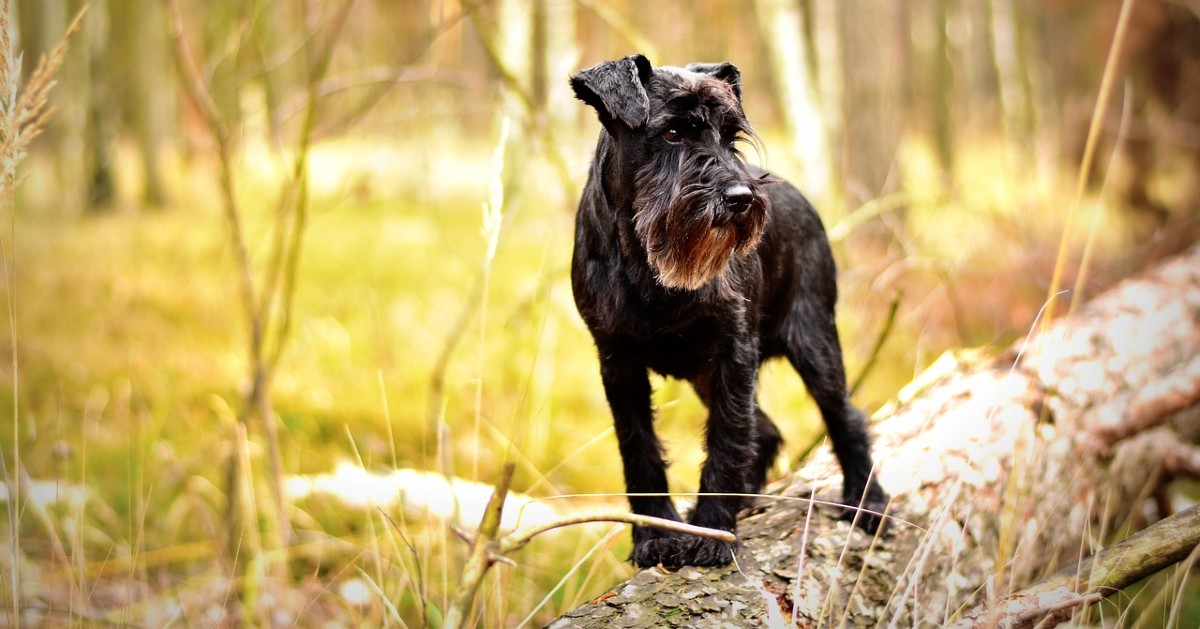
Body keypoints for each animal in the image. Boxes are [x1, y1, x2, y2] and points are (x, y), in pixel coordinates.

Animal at [566, 52, 888, 568]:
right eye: (672, 132)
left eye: (731, 135)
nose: (741, 198)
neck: (647, 267)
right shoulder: (618, 363)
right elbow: (639, 447)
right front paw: (655, 535)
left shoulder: (732, 354)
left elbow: (727, 436)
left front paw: (712, 532)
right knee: (769, 431)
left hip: (815, 344)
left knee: (845, 418)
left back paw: (867, 502)